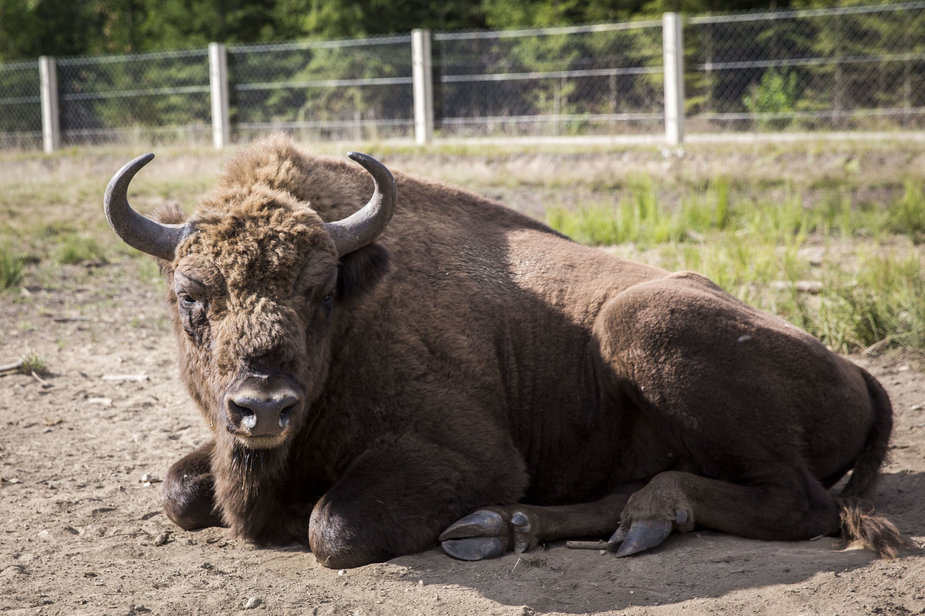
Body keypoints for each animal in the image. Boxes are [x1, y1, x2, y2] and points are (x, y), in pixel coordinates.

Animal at [103, 137, 904, 572]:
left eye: (322, 290)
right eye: (191, 296)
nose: (264, 407)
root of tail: (857, 371)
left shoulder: (470, 455)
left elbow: (333, 526)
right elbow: (178, 490)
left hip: (642, 324)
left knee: (798, 501)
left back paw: (630, 515)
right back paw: (512, 528)